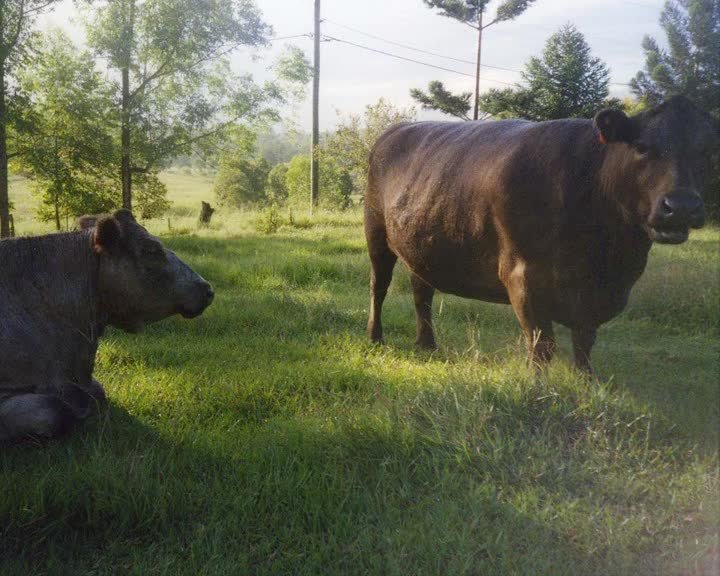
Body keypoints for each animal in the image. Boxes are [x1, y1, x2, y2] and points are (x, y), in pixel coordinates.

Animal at [364, 96, 717, 372]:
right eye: (642, 147)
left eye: (707, 152)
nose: (681, 206)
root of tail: (394, 131)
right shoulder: (523, 277)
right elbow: (542, 346)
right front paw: (539, 388)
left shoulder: (597, 294)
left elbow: (584, 342)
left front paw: (585, 383)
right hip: (376, 231)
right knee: (379, 286)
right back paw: (375, 337)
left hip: (422, 242)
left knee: (421, 291)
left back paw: (426, 344)